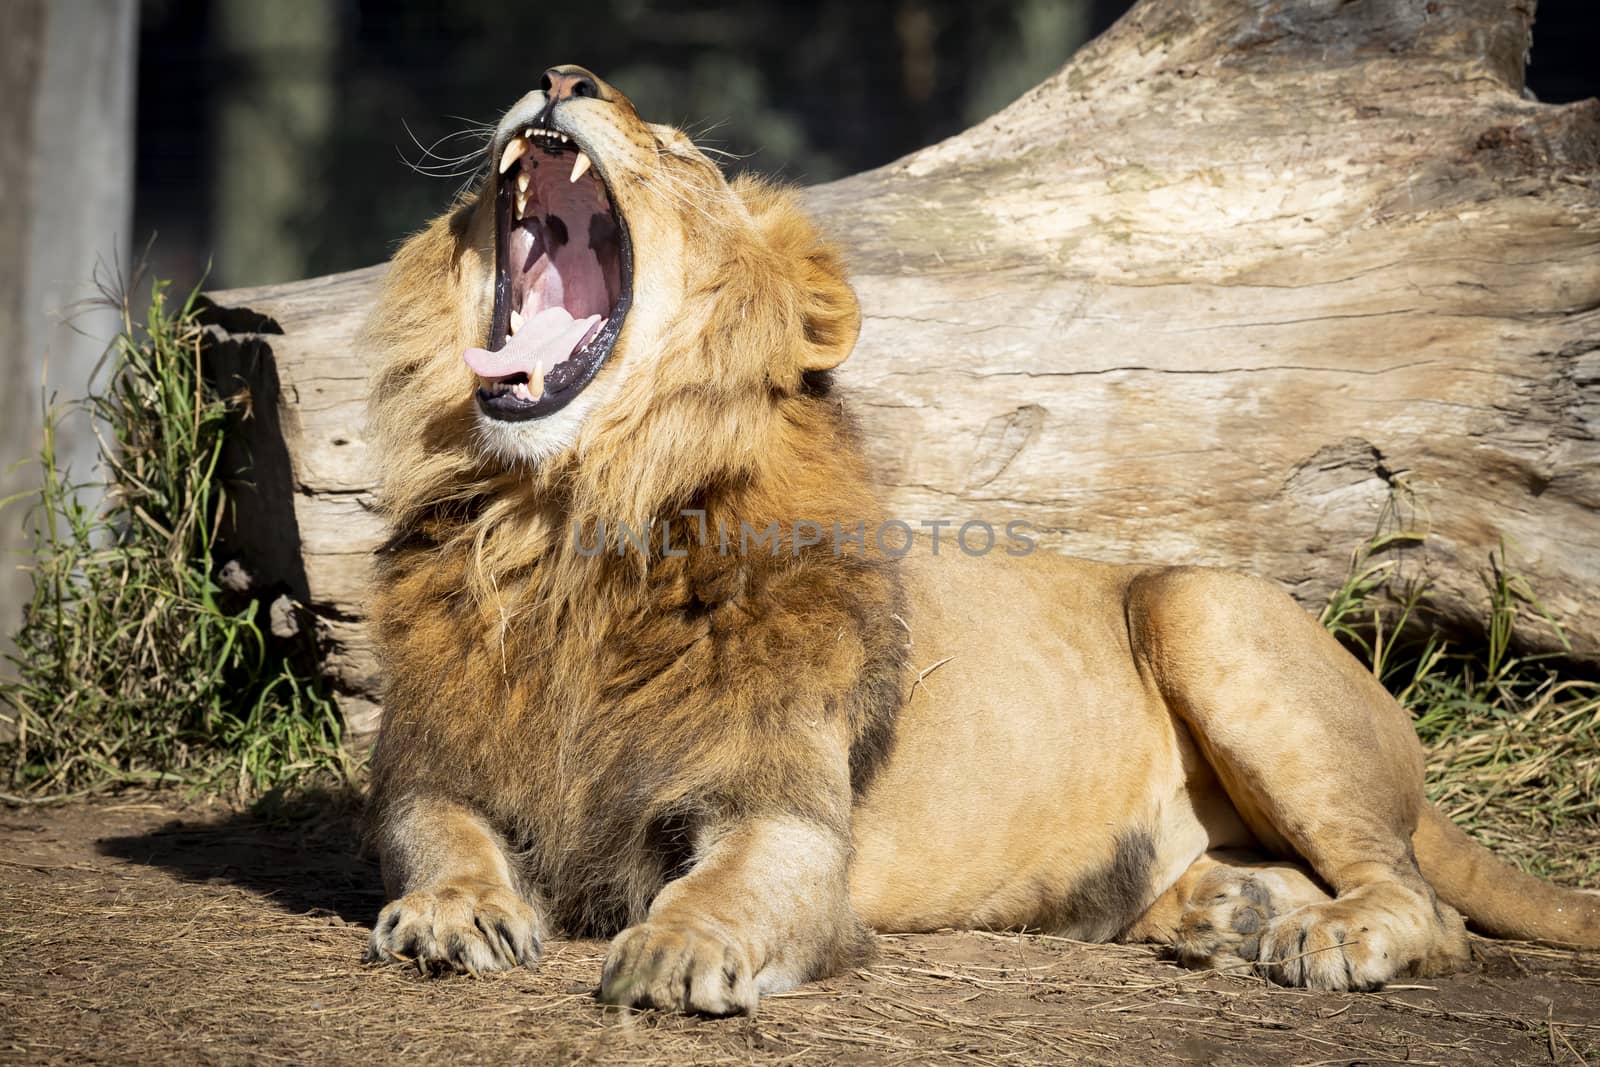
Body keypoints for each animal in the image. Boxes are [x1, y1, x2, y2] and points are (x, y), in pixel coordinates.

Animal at [363, 62, 1600, 1017]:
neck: (568, 526)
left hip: (1201, 606)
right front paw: (452, 910)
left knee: (1422, 898)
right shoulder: (428, 762)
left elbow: (723, 886)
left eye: (682, 156)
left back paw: (1326, 934)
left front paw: (676, 947)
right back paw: (1225, 906)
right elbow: (438, 834)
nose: (565, 76)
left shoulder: (783, 811)